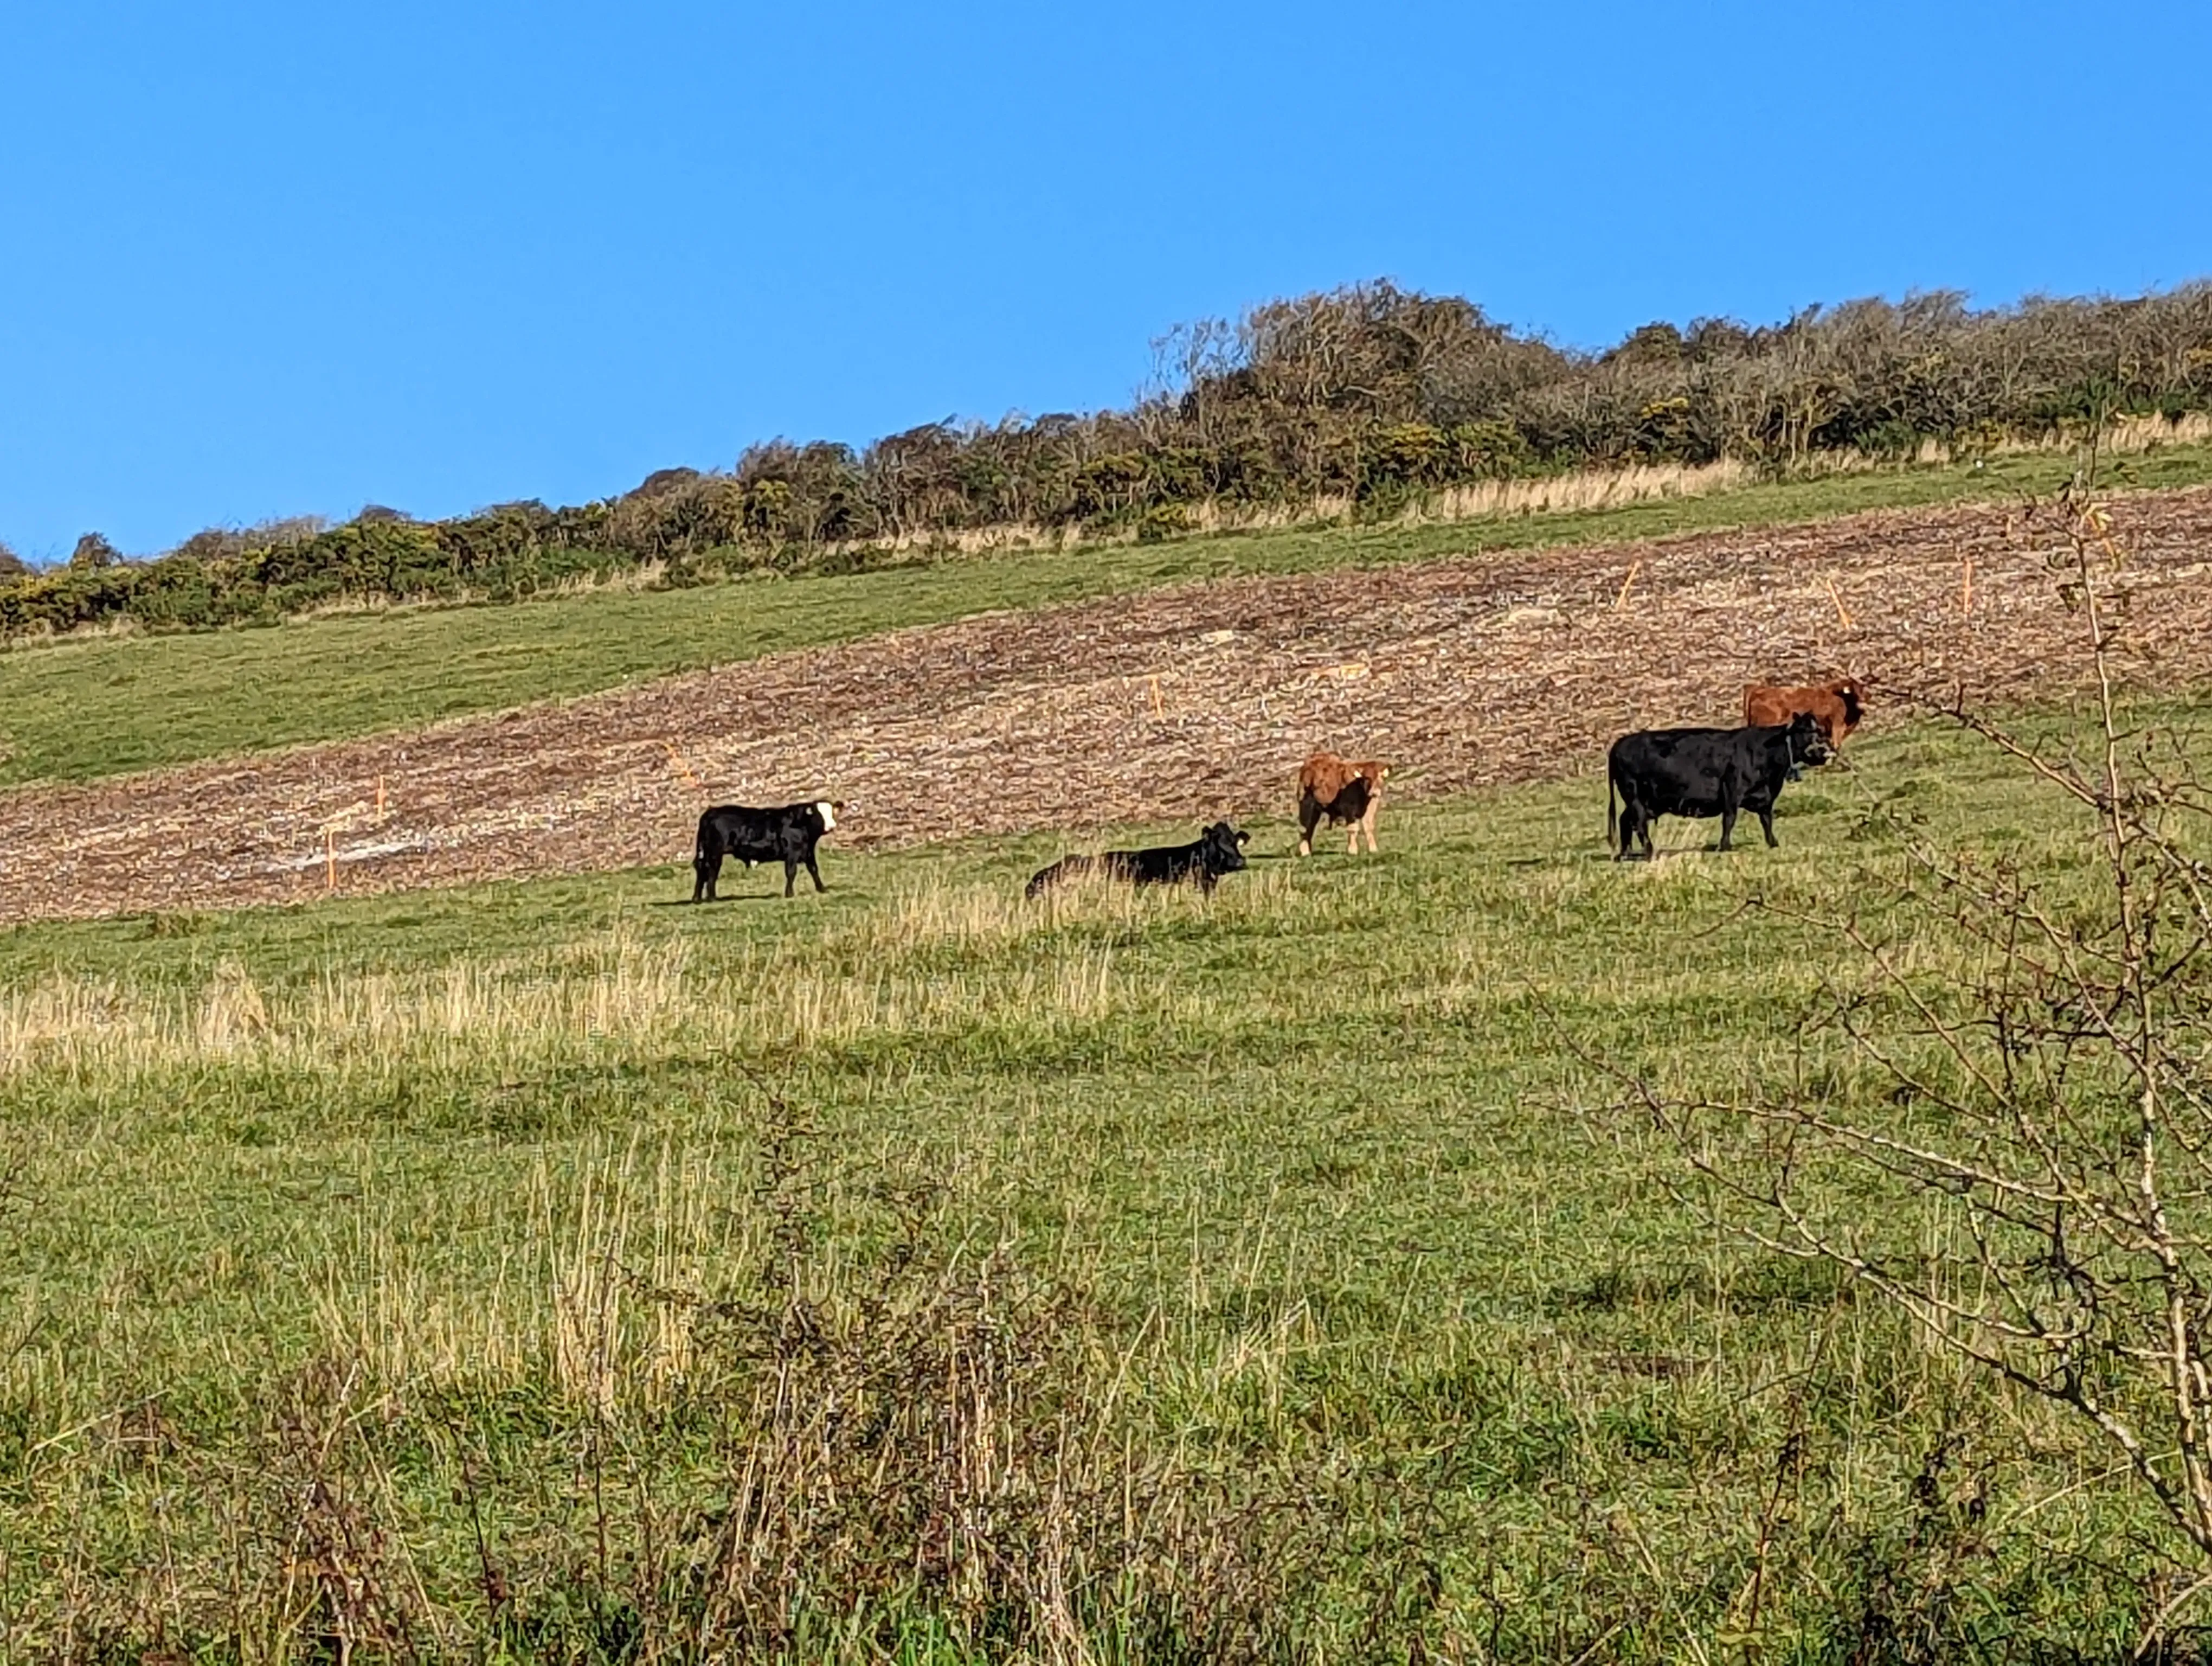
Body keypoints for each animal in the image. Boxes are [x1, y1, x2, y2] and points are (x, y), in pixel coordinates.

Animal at [690, 800, 840, 901]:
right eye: (819, 815)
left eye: (831, 813)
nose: (832, 826)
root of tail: (711, 812)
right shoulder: (792, 853)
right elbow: (791, 873)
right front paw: (789, 894)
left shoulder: (808, 851)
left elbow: (814, 869)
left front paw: (822, 889)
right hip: (715, 853)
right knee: (712, 871)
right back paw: (712, 897)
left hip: (705, 852)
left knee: (702, 871)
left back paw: (697, 898)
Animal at [1297, 752, 1389, 856]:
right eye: (1367, 779)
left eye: (1380, 777)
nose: (1375, 792)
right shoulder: (1349, 809)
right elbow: (1352, 828)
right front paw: (1352, 850)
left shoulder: (1371, 807)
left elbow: (1369, 827)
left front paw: (1373, 849)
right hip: (1306, 805)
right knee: (1305, 828)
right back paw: (1305, 852)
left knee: (1310, 828)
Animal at [1607, 714, 1831, 861]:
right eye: (1804, 731)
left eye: (1820, 731)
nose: (1825, 751)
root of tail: (1619, 744)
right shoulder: (1733, 789)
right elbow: (1730, 818)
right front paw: (1725, 846)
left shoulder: (1766, 796)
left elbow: (1767, 819)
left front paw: (1773, 843)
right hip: (1634, 795)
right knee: (1638, 822)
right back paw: (1649, 851)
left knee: (1626, 820)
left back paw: (1626, 853)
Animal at [1743, 677, 1866, 749]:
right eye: (1854, 691)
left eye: (1862, 690)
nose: (1862, 701)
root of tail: (1757, 688)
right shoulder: (1837, 723)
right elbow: (1837, 744)